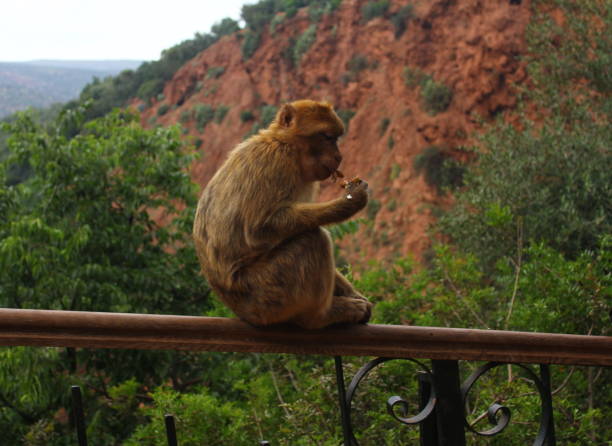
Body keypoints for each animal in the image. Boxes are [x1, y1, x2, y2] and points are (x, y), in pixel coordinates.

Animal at [194, 99, 370, 328]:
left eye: (335, 138)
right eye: (327, 137)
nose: (339, 156)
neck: (287, 145)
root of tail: (241, 311)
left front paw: (355, 294)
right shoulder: (275, 161)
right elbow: (257, 229)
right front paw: (349, 202)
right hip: (267, 294)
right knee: (313, 240)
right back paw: (322, 316)